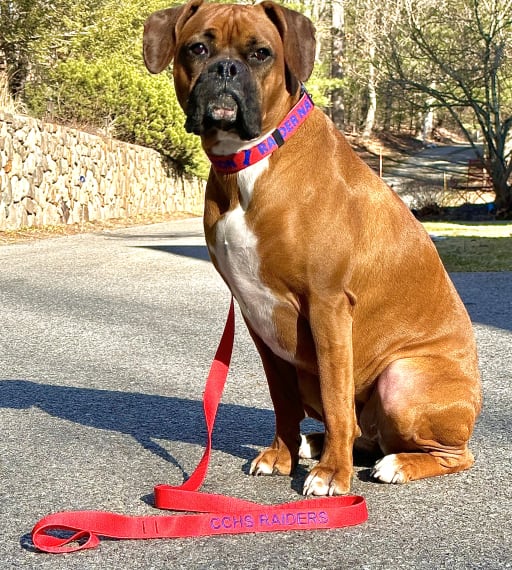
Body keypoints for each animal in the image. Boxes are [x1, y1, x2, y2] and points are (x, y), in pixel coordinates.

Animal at [143, 0, 480, 492]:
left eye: (261, 53)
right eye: (197, 48)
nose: (226, 68)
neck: (252, 160)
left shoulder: (327, 306)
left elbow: (338, 401)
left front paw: (332, 475)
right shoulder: (258, 316)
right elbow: (282, 400)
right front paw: (282, 455)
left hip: (401, 379)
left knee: (447, 453)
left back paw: (395, 463)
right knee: (361, 431)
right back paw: (314, 444)